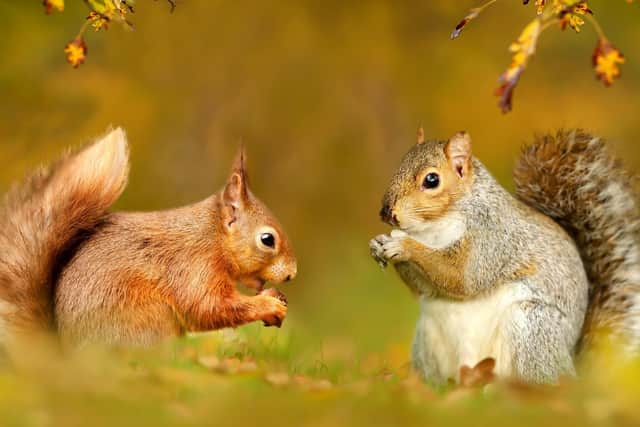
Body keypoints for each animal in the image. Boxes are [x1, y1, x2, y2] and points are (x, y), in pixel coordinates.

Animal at [370, 128, 640, 384]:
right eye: (400, 164)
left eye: (432, 180)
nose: (386, 212)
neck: (433, 228)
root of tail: (573, 367)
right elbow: (425, 288)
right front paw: (379, 243)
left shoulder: (492, 237)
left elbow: (463, 277)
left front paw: (403, 245)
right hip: (425, 343)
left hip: (531, 329)